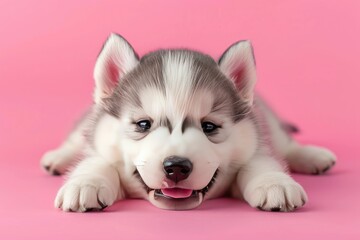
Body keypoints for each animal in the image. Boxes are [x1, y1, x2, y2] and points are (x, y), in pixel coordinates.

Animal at [42, 33, 338, 212]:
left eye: (209, 127)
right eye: (143, 125)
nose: (176, 167)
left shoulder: (257, 138)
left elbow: (259, 161)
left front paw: (274, 183)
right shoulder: (98, 142)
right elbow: (98, 161)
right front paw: (86, 184)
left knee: (286, 144)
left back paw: (312, 156)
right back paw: (58, 158)